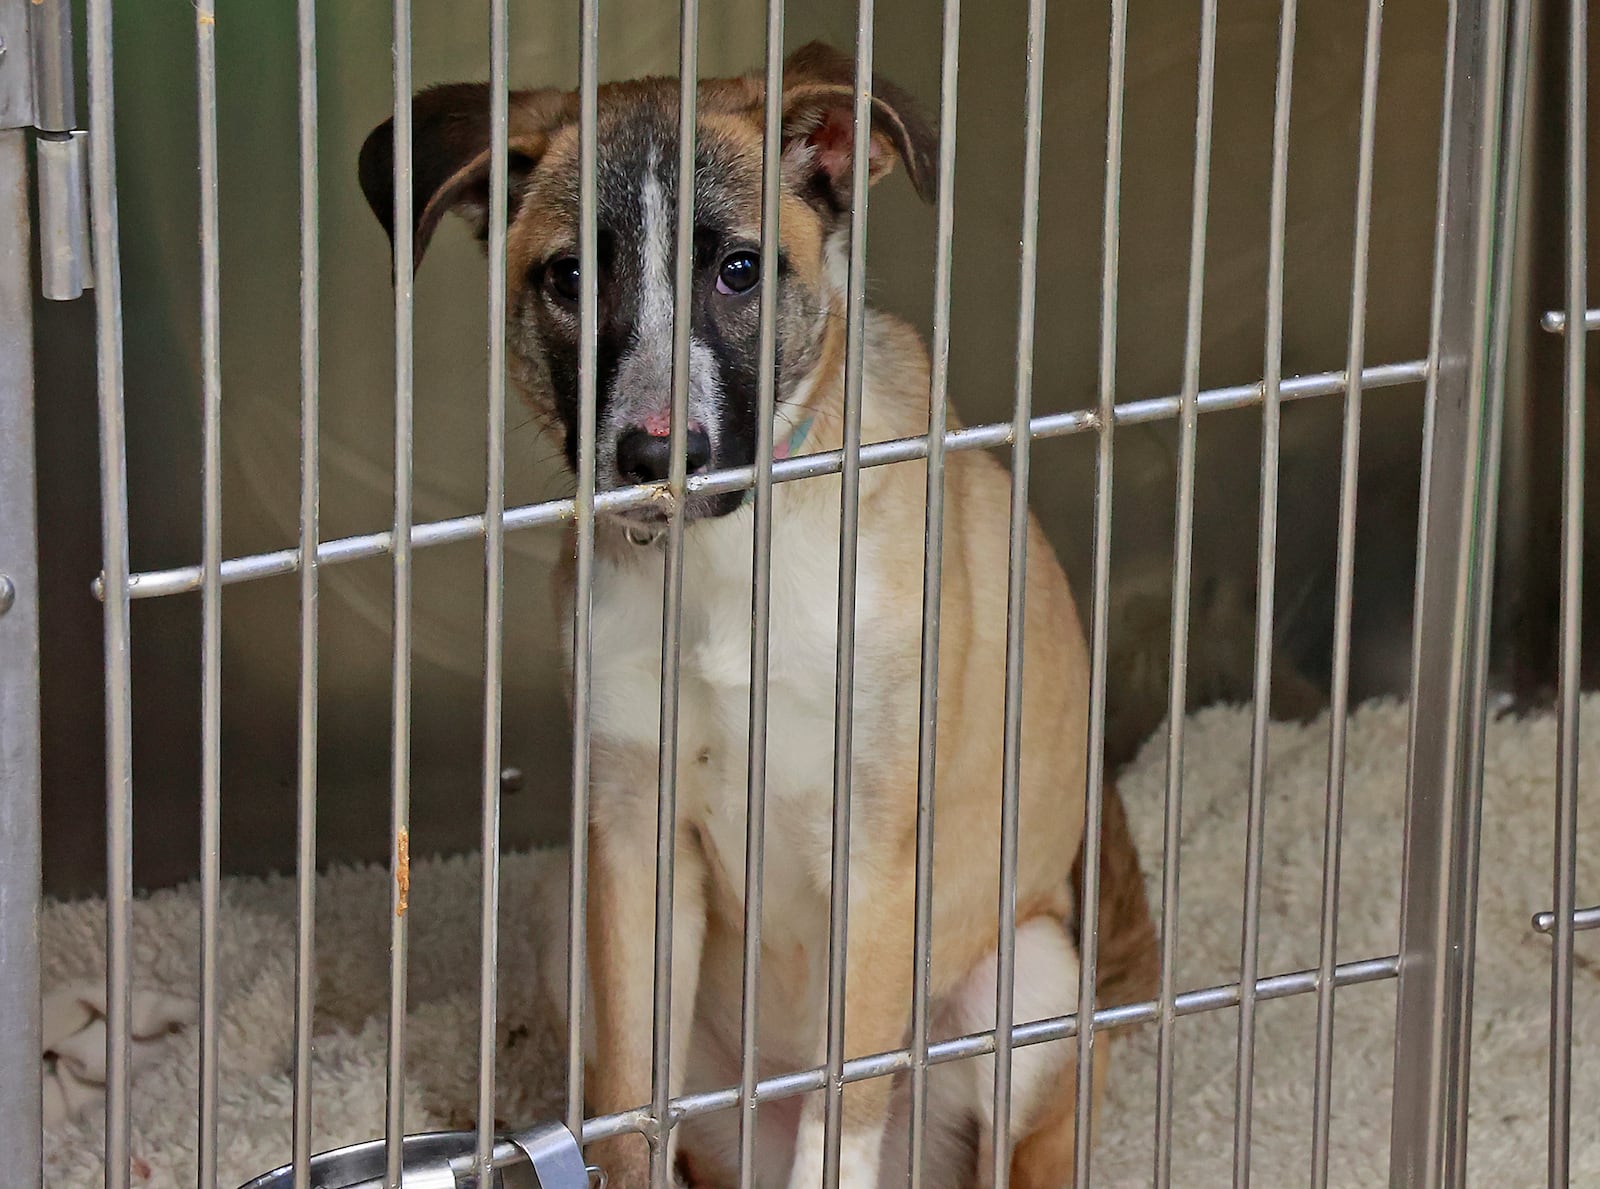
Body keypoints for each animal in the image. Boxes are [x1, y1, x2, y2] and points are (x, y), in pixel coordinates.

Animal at [360, 41, 1164, 1184]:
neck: (726, 559)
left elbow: (842, 1113)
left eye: (738, 270)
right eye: (571, 278)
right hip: (564, 910)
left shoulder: (875, 849)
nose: (658, 454)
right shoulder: (633, 833)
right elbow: (627, 1112)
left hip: (1032, 978)